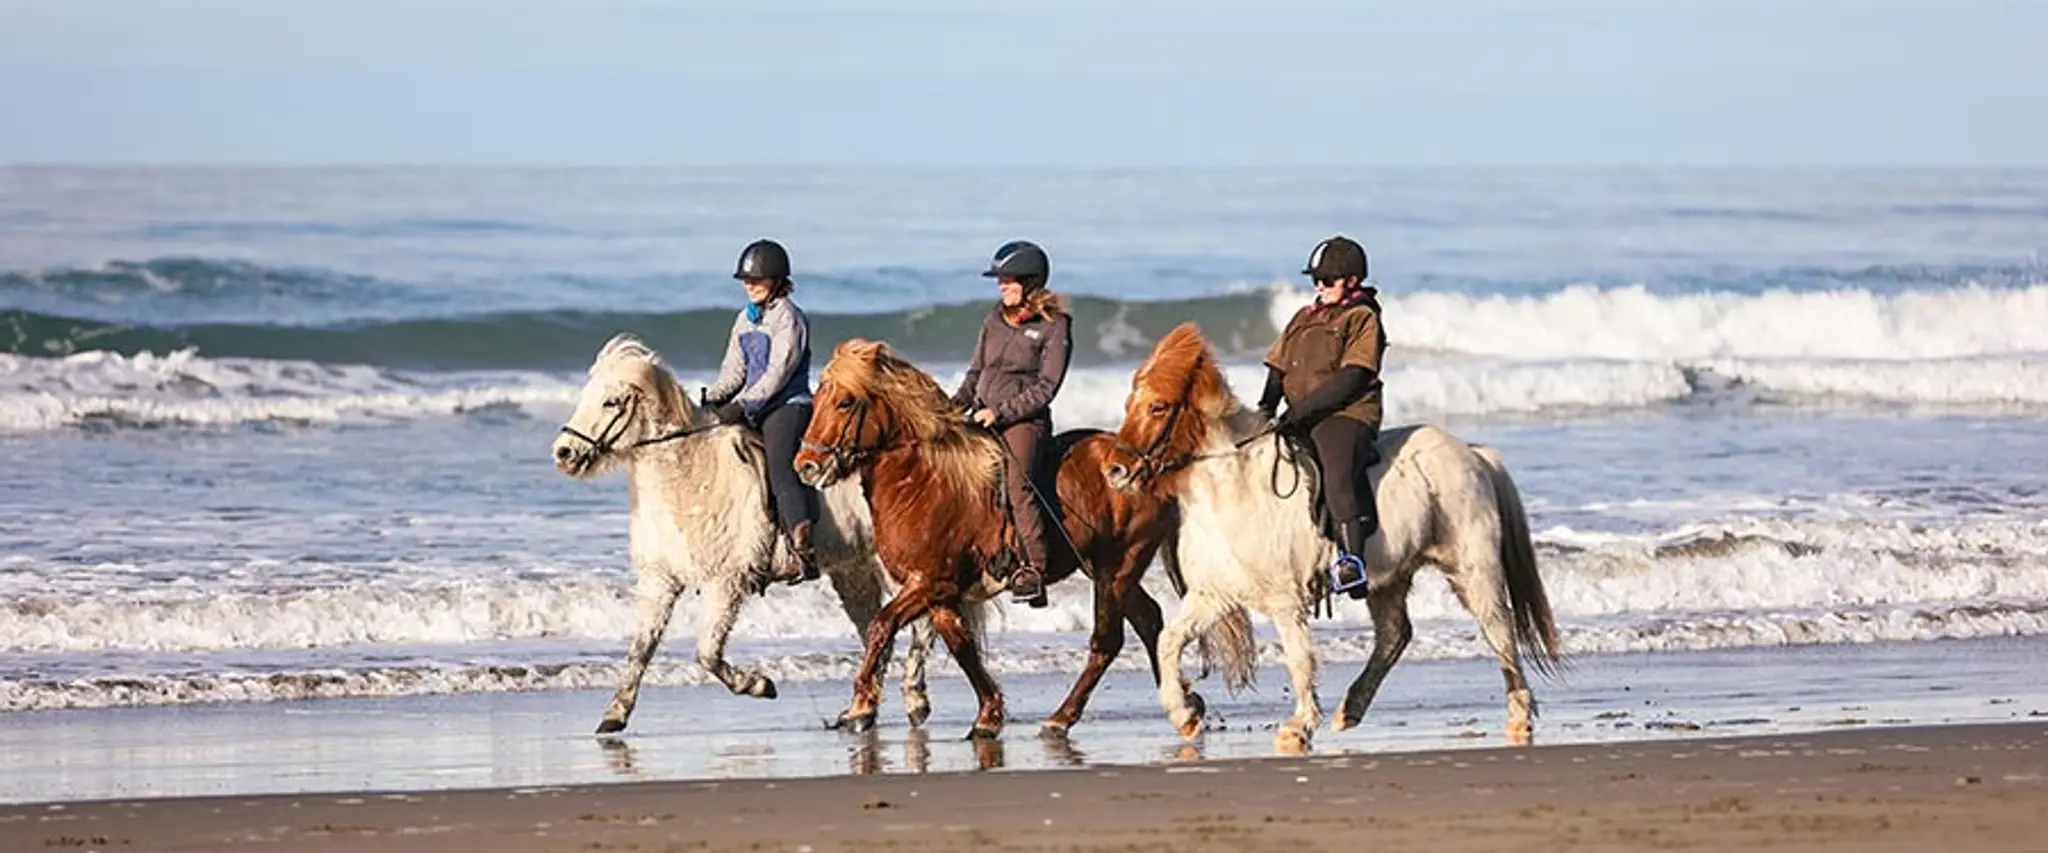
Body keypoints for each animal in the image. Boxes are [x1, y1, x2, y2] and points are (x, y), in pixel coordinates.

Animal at [550, 332, 946, 734]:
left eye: (610, 401)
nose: (563, 453)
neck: (689, 477)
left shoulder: (727, 581)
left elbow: (707, 653)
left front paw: (759, 684)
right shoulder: (660, 580)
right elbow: (641, 648)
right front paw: (614, 714)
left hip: (895, 566)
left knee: (923, 625)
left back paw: (915, 700)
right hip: (854, 571)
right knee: (877, 631)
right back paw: (860, 713)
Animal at [792, 338, 1225, 740]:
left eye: (845, 402)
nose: (807, 466)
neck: (924, 481)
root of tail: (1147, 464)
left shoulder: (929, 583)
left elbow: (882, 625)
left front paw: (859, 708)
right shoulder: (940, 592)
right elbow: (961, 646)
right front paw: (988, 714)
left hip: (1116, 568)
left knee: (1108, 642)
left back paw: (1062, 718)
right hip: (1106, 569)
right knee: (1150, 620)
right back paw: (1185, 703)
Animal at [1101, 322, 1566, 751]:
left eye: (1158, 407)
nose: (1115, 471)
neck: (1232, 491)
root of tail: (1473, 454)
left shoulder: (1284, 601)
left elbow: (1299, 659)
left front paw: (1298, 726)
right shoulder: (1213, 596)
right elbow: (1168, 640)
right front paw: (1184, 716)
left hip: (1472, 570)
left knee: (1499, 629)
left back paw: (1520, 716)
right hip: (1389, 578)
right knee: (1395, 634)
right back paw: (1350, 709)